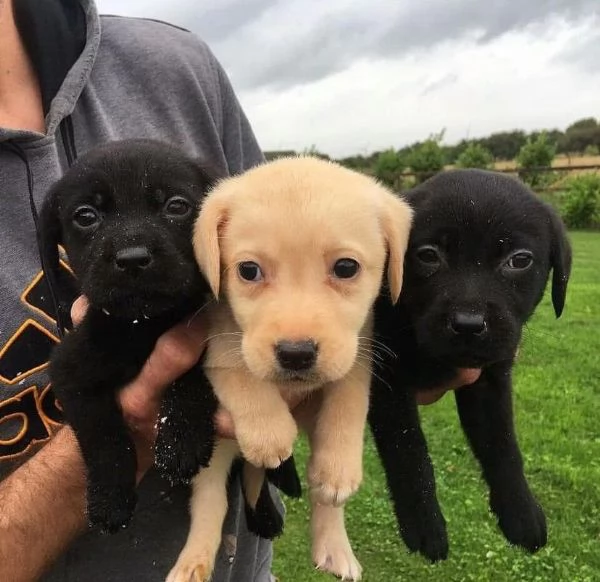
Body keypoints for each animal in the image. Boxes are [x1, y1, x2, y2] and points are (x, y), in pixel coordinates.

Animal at [38, 140, 219, 532]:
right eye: (86, 215)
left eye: (176, 206)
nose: (133, 259)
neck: (144, 325)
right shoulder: (71, 371)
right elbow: (103, 436)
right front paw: (109, 499)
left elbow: (194, 374)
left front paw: (180, 438)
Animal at [166, 157, 414, 580]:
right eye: (249, 271)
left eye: (346, 267)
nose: (296, 354)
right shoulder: (219, 343)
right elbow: (241, 374)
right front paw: (269, 433)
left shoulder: (357, 351)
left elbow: (348, 402)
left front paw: (339, 465)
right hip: (213, 458)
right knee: (211, 504)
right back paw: (191, 565)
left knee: (322, 500)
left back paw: (335, 547)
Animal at [370, 171, 572, 564]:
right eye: (427, 255)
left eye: (519, 260)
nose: (468, 324)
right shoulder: (383, 377)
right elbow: (409, 448)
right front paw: (424, 523)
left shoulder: (489, 380)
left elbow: (503, 443)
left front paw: (521, 511)